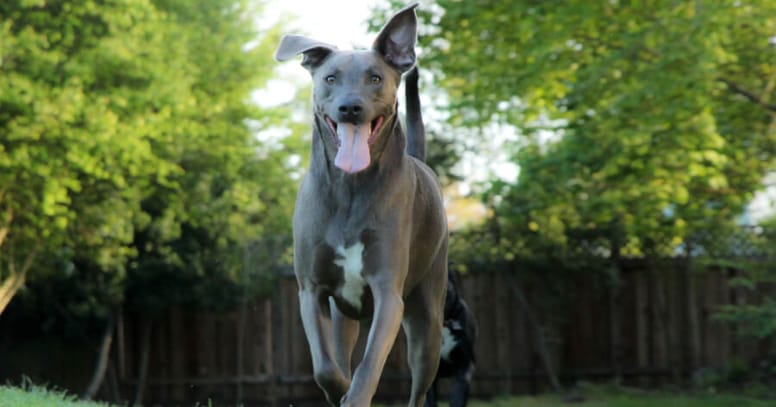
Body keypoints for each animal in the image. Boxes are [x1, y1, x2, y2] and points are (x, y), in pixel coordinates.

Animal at [274, 3, 448, 407]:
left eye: (375, 78)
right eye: (330, 78)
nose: (350, 107)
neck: (350, 188)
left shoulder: (388, 293)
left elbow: (369, 365)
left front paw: (353, 396)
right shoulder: (311, 291)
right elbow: (326, 368)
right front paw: (339, 390)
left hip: (428, 320)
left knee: (419, 385)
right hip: (344, 317)